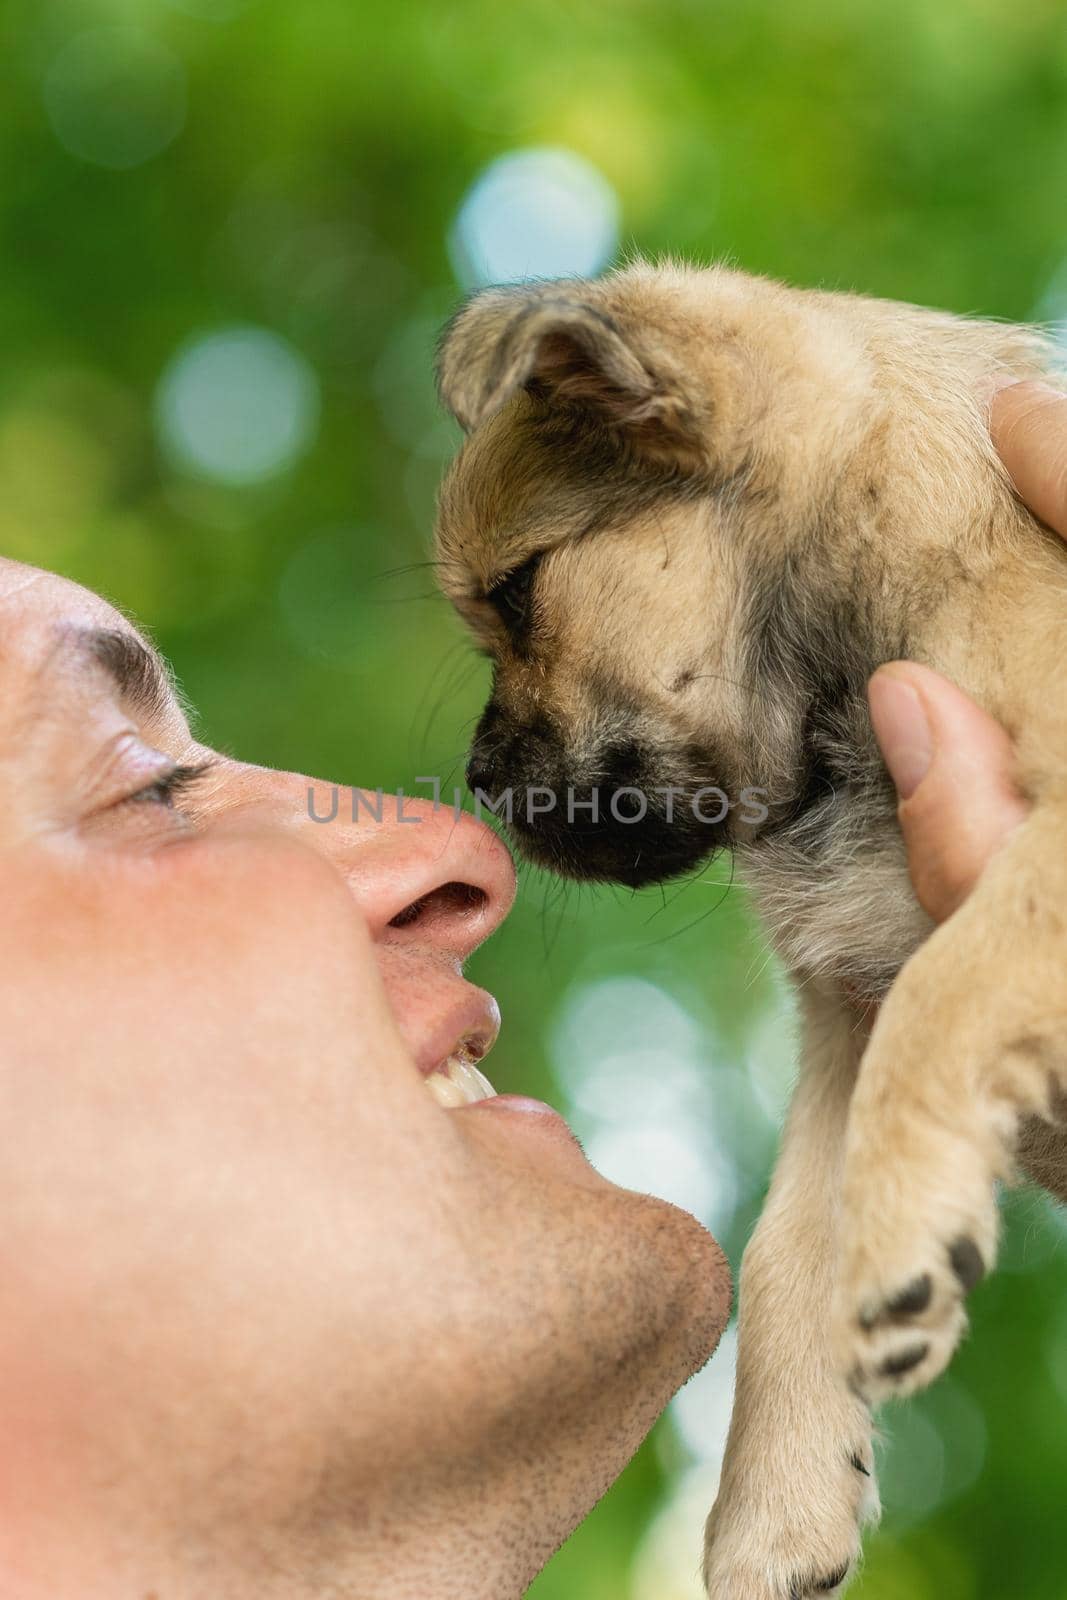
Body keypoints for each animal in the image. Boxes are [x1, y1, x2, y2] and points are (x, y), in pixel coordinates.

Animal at [431, 265, 1067, 1600]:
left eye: (519, 592)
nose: (478, 777)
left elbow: (950, 994)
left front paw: (899, 1225)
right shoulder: (843, 1012)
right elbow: (785, 1249)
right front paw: (777, 1496)